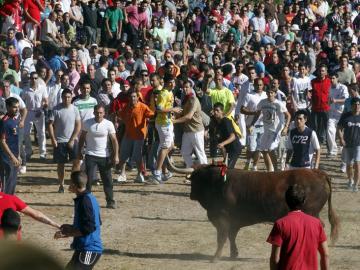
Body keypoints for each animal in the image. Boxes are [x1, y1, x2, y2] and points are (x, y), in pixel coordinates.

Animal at [167, 160, 338, 262]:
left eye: (195, 178)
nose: (191, 195)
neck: (218, 183)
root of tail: (317, 172)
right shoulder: (233, 221)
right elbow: (231, 236)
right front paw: (233, 254)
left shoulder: (222, 219)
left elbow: (221, 238)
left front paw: (215, 258)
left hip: (310, 212)